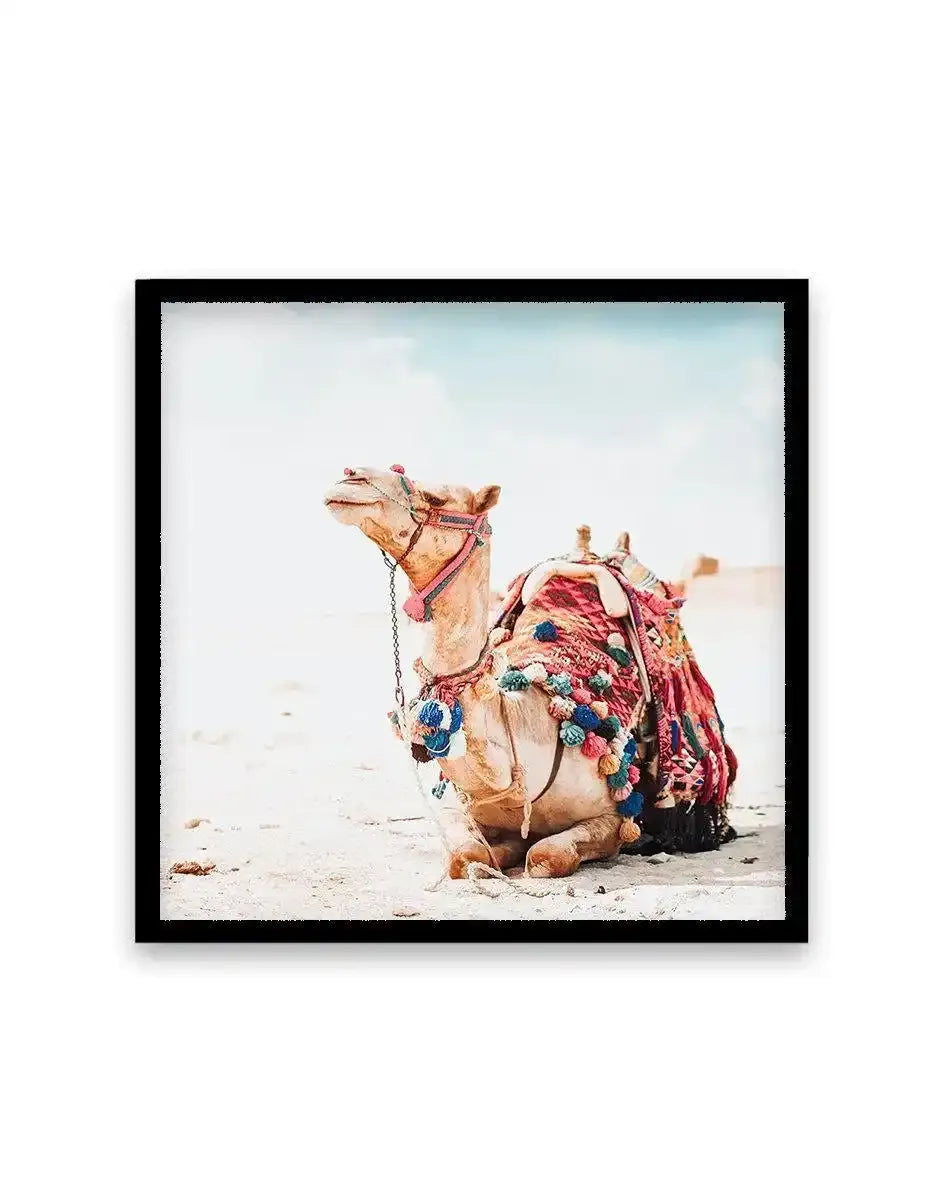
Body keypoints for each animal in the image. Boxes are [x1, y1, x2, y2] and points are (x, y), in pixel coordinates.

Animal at [324, 463, 654, 879]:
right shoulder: (461, 807)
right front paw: (498, 852)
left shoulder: (613, 819)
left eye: (435, 497)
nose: (351, 477)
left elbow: (546, 855)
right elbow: (466, 856)